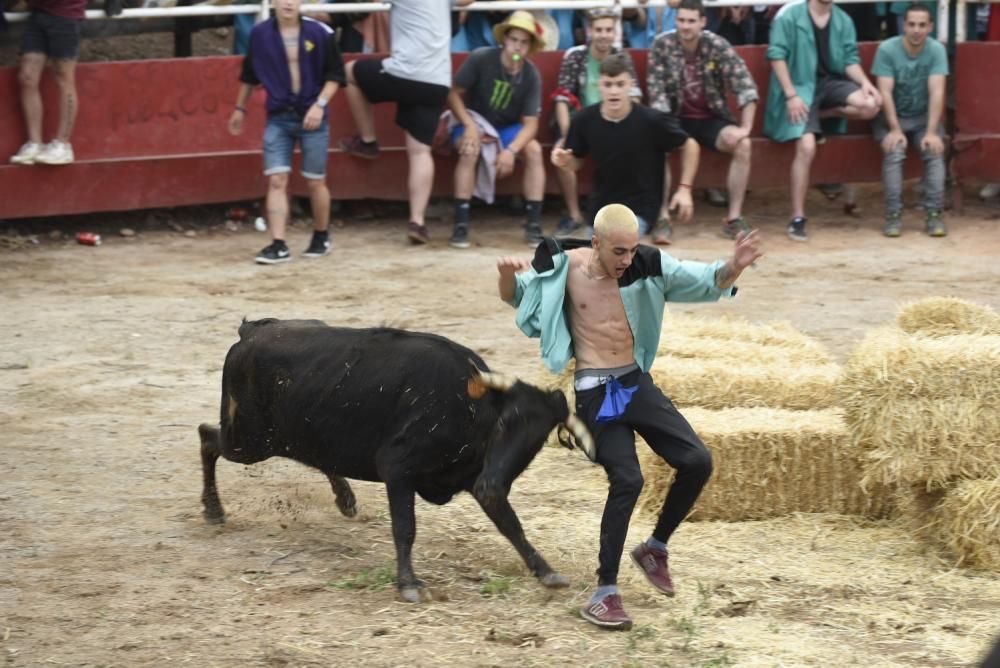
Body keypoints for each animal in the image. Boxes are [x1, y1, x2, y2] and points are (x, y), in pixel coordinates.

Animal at [199, 318, 596, 600]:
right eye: (502, 423)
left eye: (537, 440)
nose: (493, 483)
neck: (467, 407)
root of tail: (252, 331)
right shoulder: (398, 470)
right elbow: (405, 528)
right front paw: (408, 583)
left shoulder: (478, 478)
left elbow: (511, 524)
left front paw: (545, 571)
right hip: (248, 441)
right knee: (207, 437)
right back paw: (214, 509)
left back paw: (345, 500)